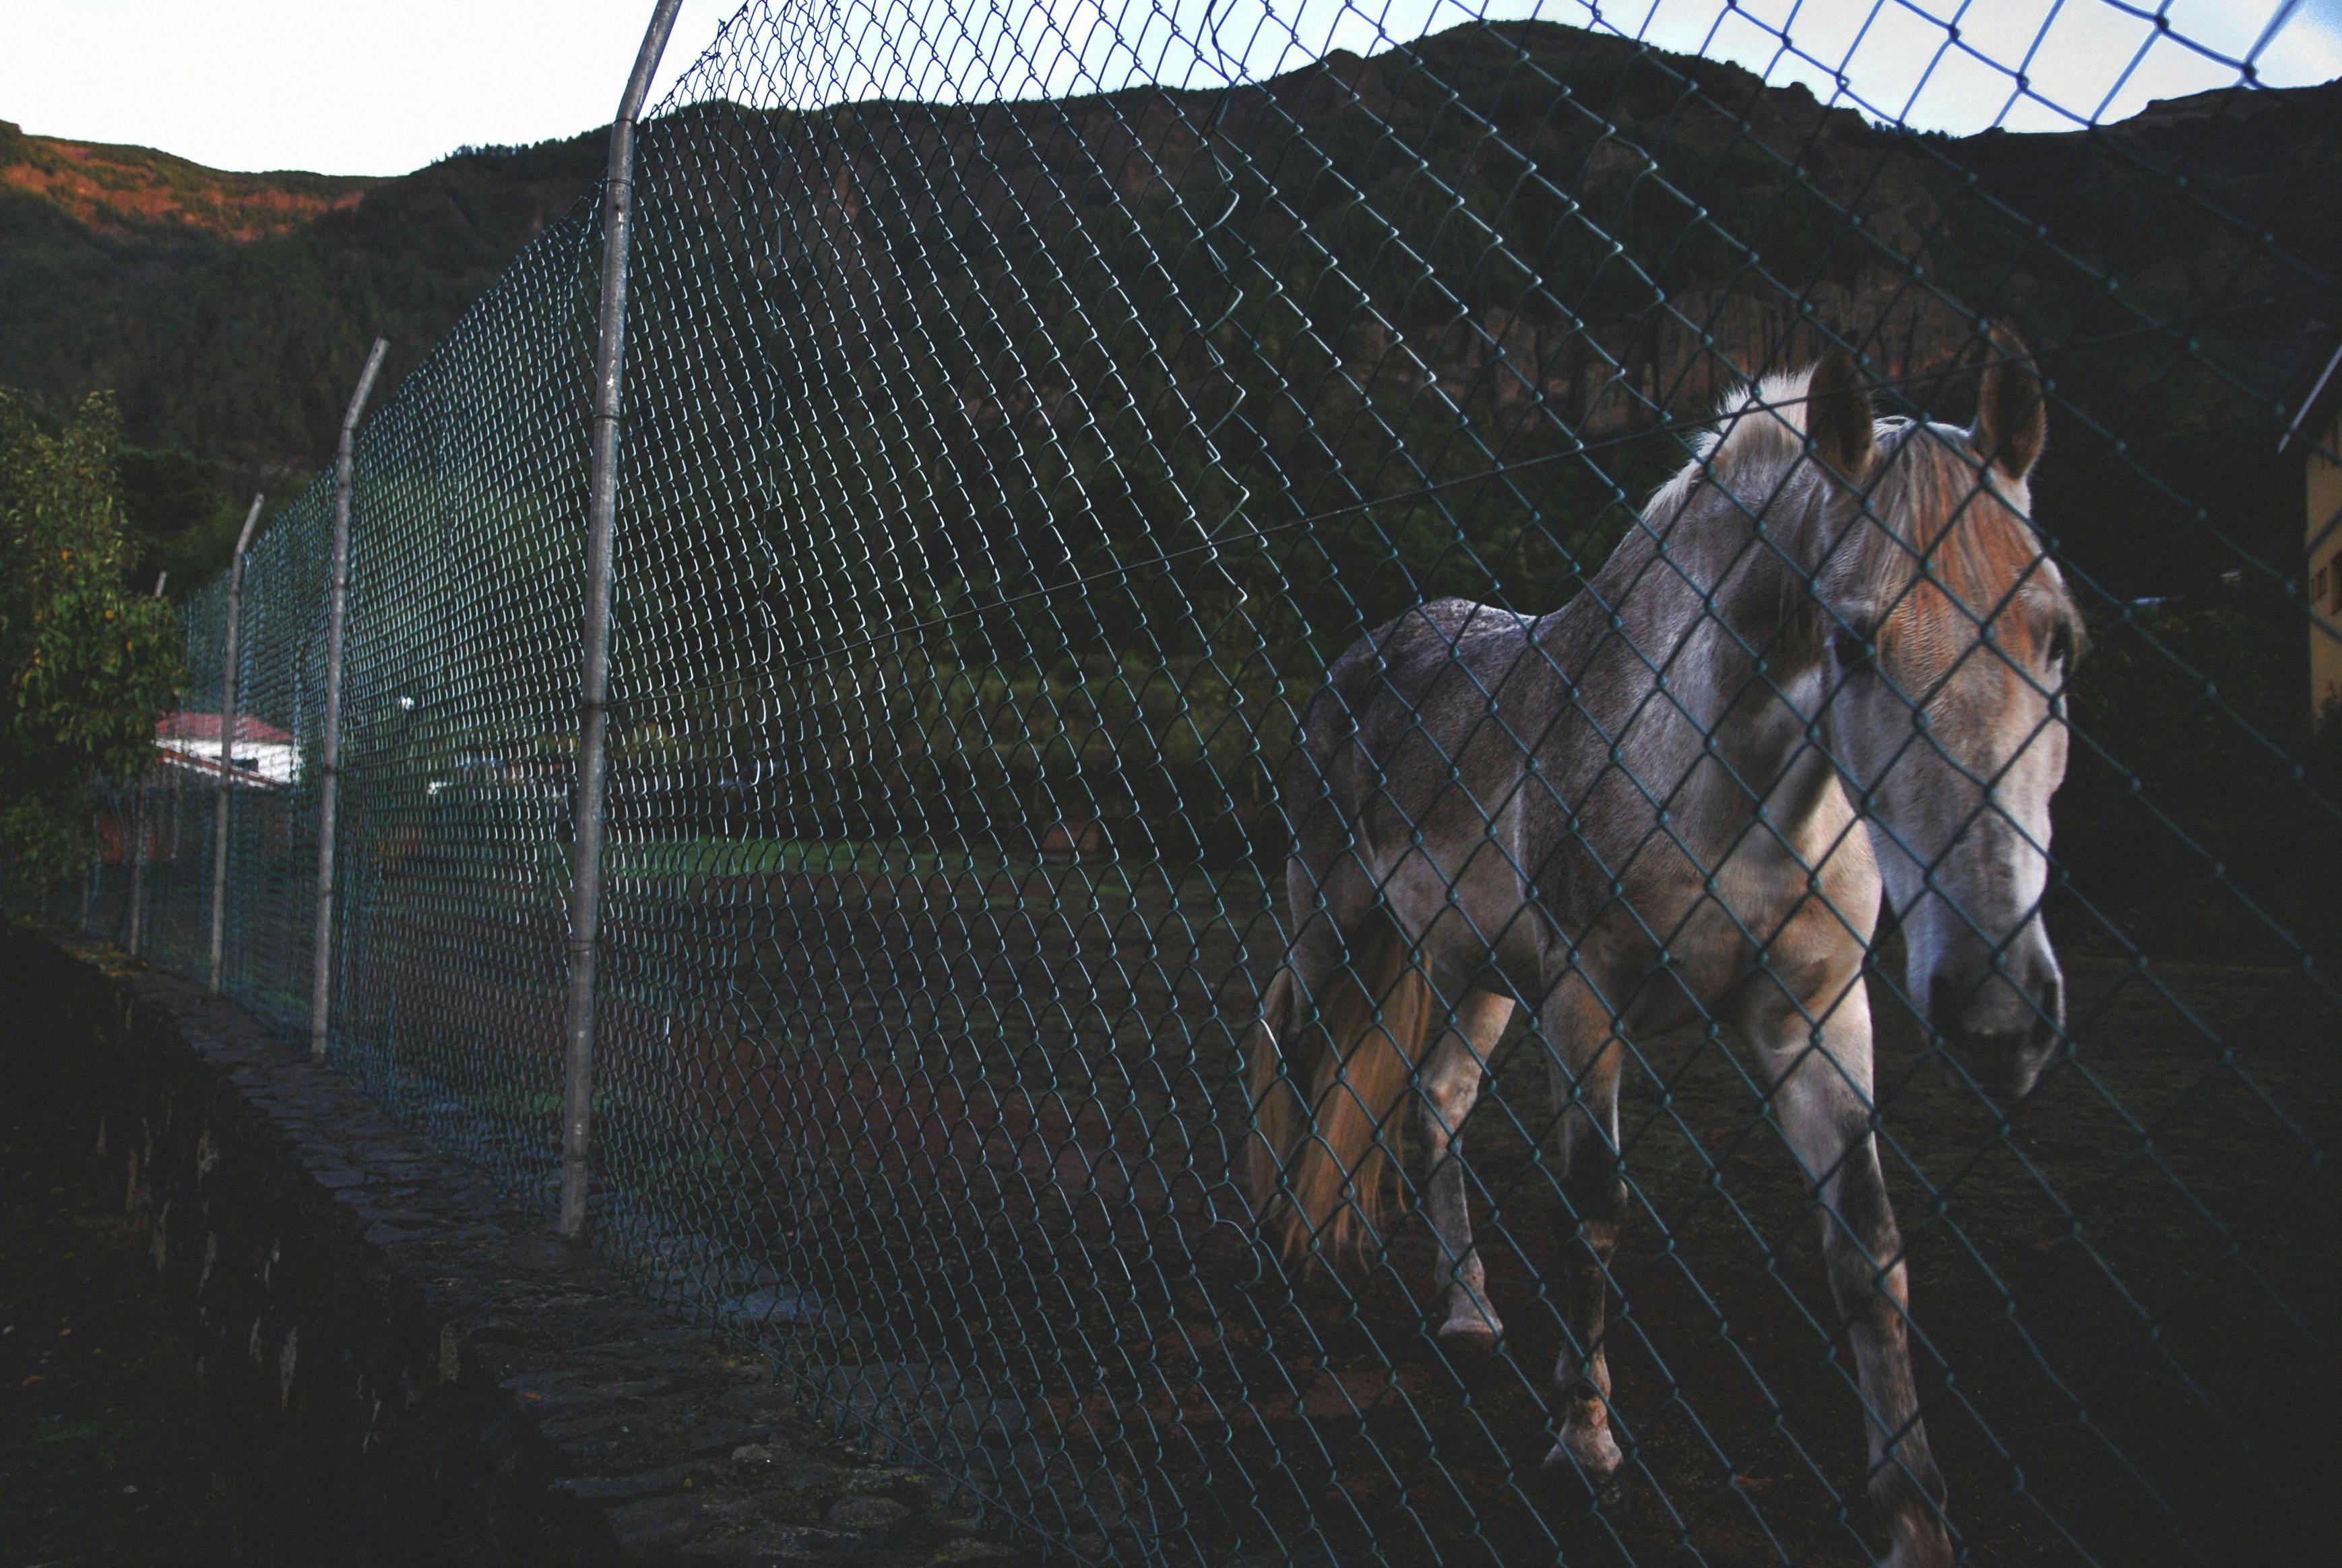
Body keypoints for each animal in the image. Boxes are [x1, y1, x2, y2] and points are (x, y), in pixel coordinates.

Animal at [1255, 337, 2079, 1556]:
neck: (1720, 772)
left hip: (1474, 971)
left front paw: (1912, 1516)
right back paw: (1277, 1240)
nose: (1998, 1009)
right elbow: (1593, 1206)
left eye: (2058, 637)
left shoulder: (1814, 1012)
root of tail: (1365, 652)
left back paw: (1468, 1309)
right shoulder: (1586, 993)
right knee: (1295, 1041)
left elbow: (1869, 1248)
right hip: (1335, 919)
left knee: (1437, 1096)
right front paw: (1584, 1441)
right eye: (1851, 638)